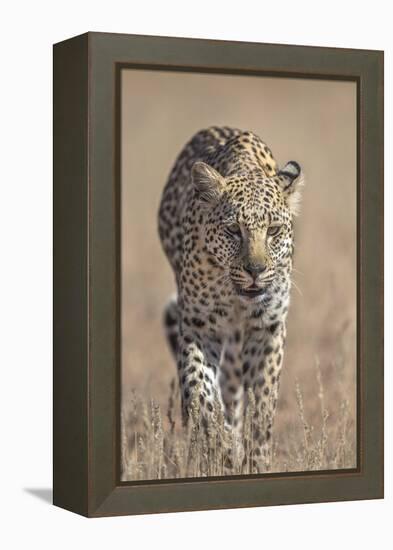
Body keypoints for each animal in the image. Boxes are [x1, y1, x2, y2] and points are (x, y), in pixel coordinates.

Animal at [157, 127, 304, 472]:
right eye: (233, 230)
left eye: (273, 230)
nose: (255, 270)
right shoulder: (198, 326)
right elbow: (200, 393)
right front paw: (219, 446)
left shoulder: (267, 328)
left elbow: (262, 404)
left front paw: (256, 460)